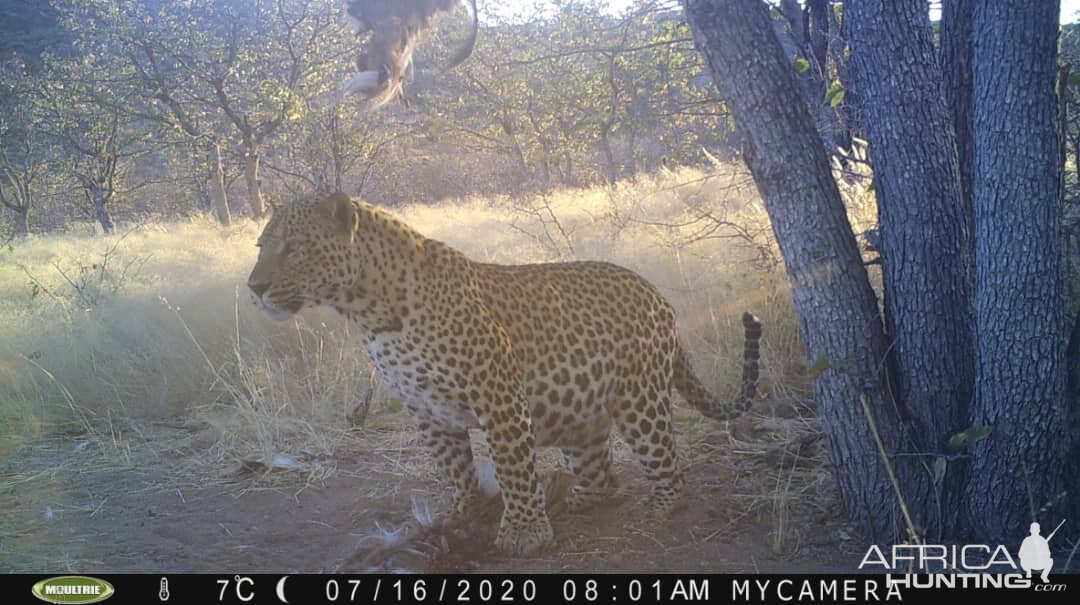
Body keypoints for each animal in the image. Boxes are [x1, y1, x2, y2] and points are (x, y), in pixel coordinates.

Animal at [248, 191, 764, 557]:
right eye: (260, 247)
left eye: (293, 249)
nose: (254, 287)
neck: (367, 312)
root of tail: (658, 295)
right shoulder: (425, 409)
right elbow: (454, 466)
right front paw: (462, 512)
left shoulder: (496, 394)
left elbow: (513, 467)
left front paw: (523, 532)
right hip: (577, 412)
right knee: (603, 473)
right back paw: (578, 498)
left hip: (639, 401)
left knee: (669, 466)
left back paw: (658, 508)